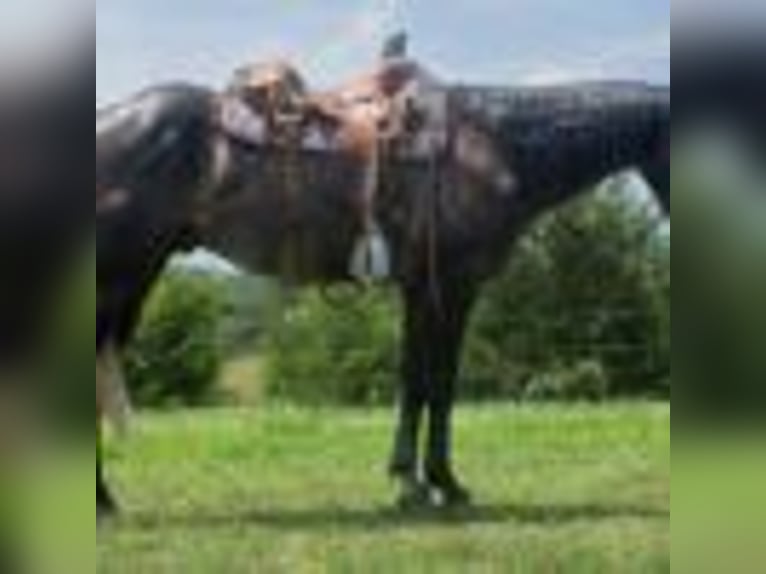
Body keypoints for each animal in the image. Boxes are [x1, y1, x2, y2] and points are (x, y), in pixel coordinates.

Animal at [96, 59, 669, 516]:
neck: (496, 146)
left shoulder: (421, 289)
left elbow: (415, 381)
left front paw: (411, 481)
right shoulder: (452, 287)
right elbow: (439, 385)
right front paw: (441, 484)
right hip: (118, 274)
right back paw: (102, 502)